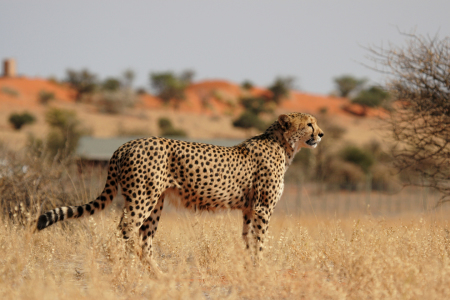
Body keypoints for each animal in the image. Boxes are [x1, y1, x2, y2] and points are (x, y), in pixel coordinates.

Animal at [36, 113, 324, 264]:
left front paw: (248, 266)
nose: (321, 134)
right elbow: (259, 240)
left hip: (155, 202)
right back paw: (130, 265)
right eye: (309, 124)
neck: (283, 145)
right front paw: (260, 267)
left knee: (145, 238)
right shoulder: (263, 208)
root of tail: (126, 144)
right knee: (126, 228)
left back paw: (157, 273)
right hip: (143, 197)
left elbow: (247, 238)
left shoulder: (249, 208)